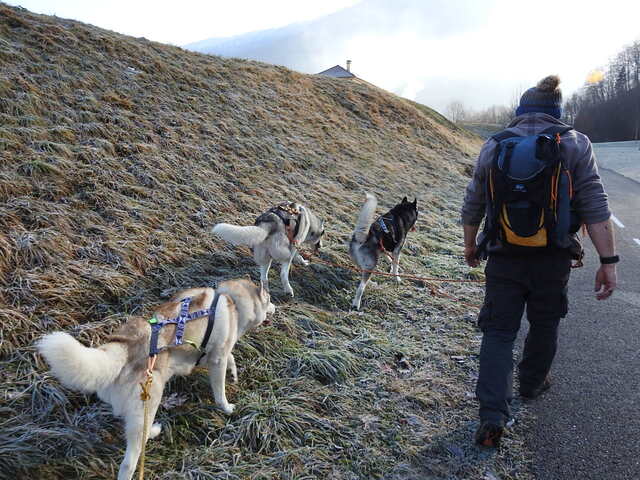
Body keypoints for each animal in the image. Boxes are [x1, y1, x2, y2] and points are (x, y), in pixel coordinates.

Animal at [36, 278, 274, 480]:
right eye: (270, 298)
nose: (276, 307)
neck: (231, 300)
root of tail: (125, 344)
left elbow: (231, 358)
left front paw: (233, 373)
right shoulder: (218, 358)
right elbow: (220, 390)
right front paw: (226, 406)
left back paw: (152, 431)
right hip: (151, 399)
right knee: (129, 462)